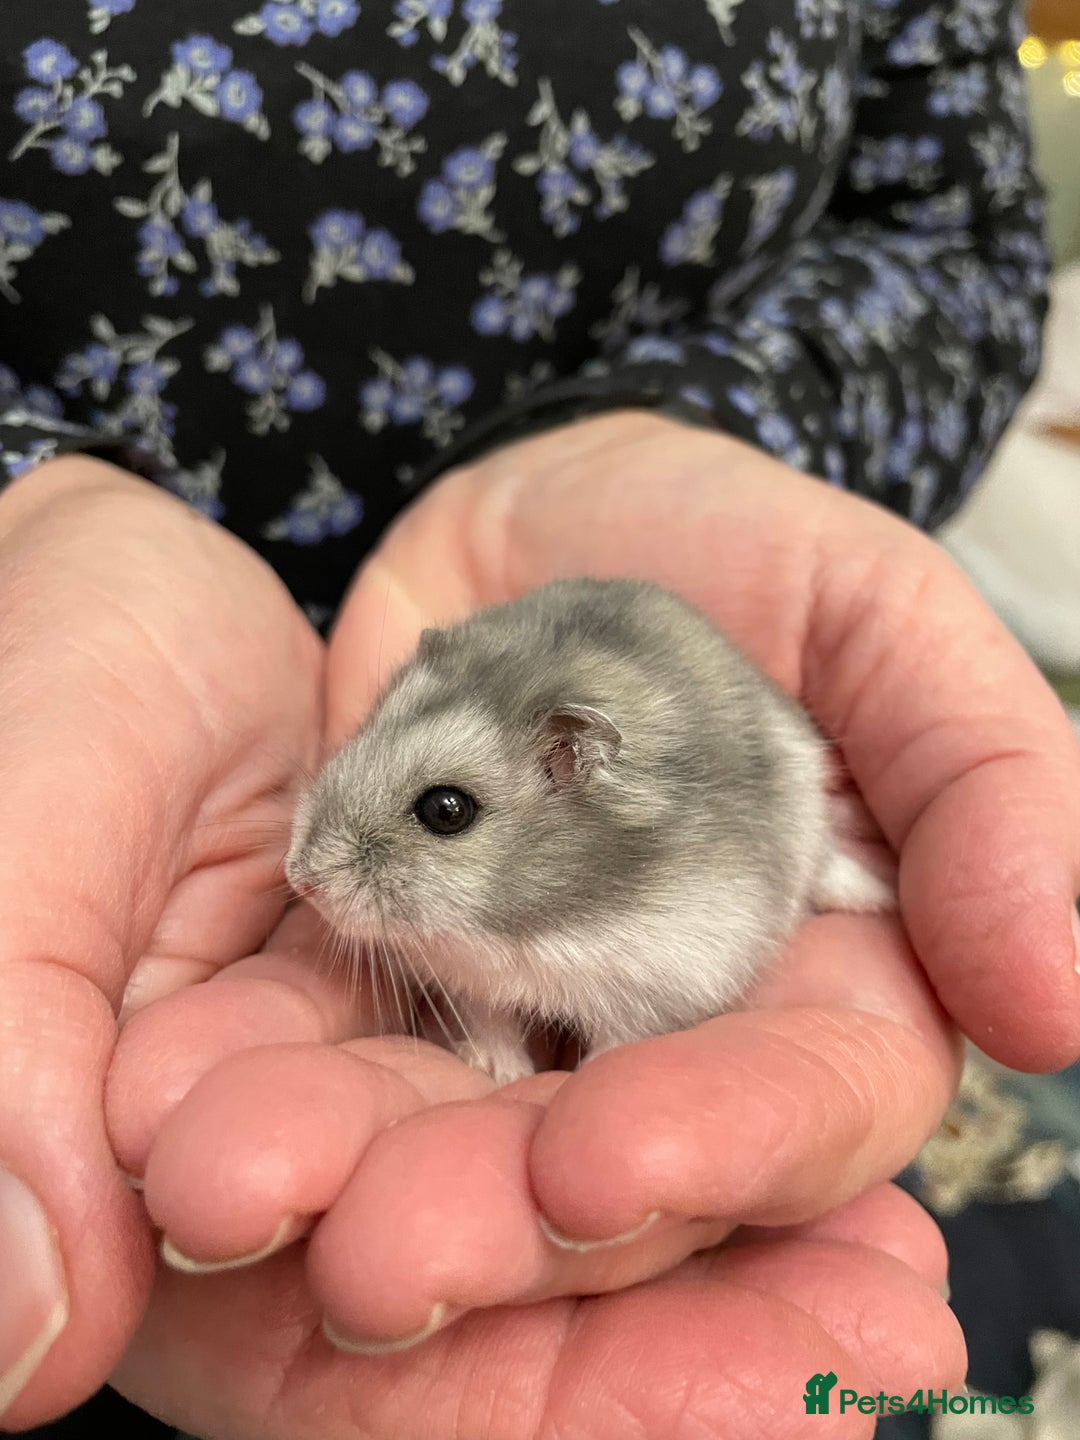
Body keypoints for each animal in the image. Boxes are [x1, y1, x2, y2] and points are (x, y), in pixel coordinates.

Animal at [286, 577, 895, 1085]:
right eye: (360, 734)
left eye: (447, 810)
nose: (301, 881)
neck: (529, 925)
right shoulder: (470, 979)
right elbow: (491, 1020)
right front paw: (500, 1072)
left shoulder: (663, 977)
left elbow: (615, 1039)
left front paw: (577, 1076)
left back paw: (878, 897)